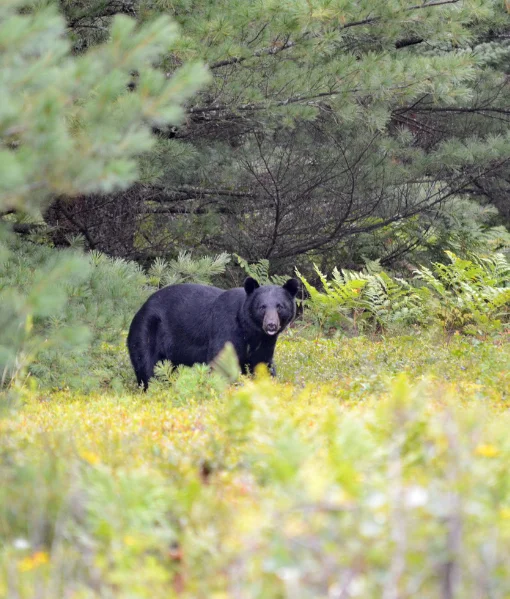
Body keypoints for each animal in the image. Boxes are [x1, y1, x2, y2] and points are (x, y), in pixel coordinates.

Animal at [126, 276, 298, 390]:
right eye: (262, 307)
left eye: (280, 306)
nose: (271, 325)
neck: (250, 331)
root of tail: (141, 308)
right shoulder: (226, 327)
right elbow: (221, 360)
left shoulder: (264, 343)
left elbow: (263, 363)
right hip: (147, 330)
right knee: (146, 364)